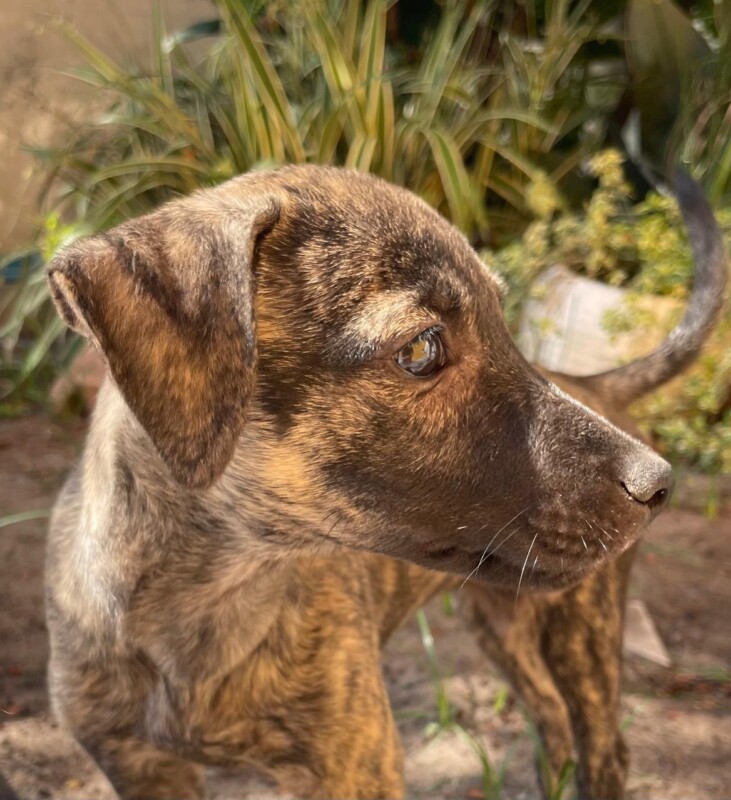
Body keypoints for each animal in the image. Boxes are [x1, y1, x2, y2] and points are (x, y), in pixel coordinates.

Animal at [45, 166, 728, 796]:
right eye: (422, 349)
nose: (658, 485)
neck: (209, 600)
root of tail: (595, 382)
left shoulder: (355, 765)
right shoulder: (139, 765)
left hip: (583, 629)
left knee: (602, 745)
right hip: (502, 620)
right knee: (551, 717)